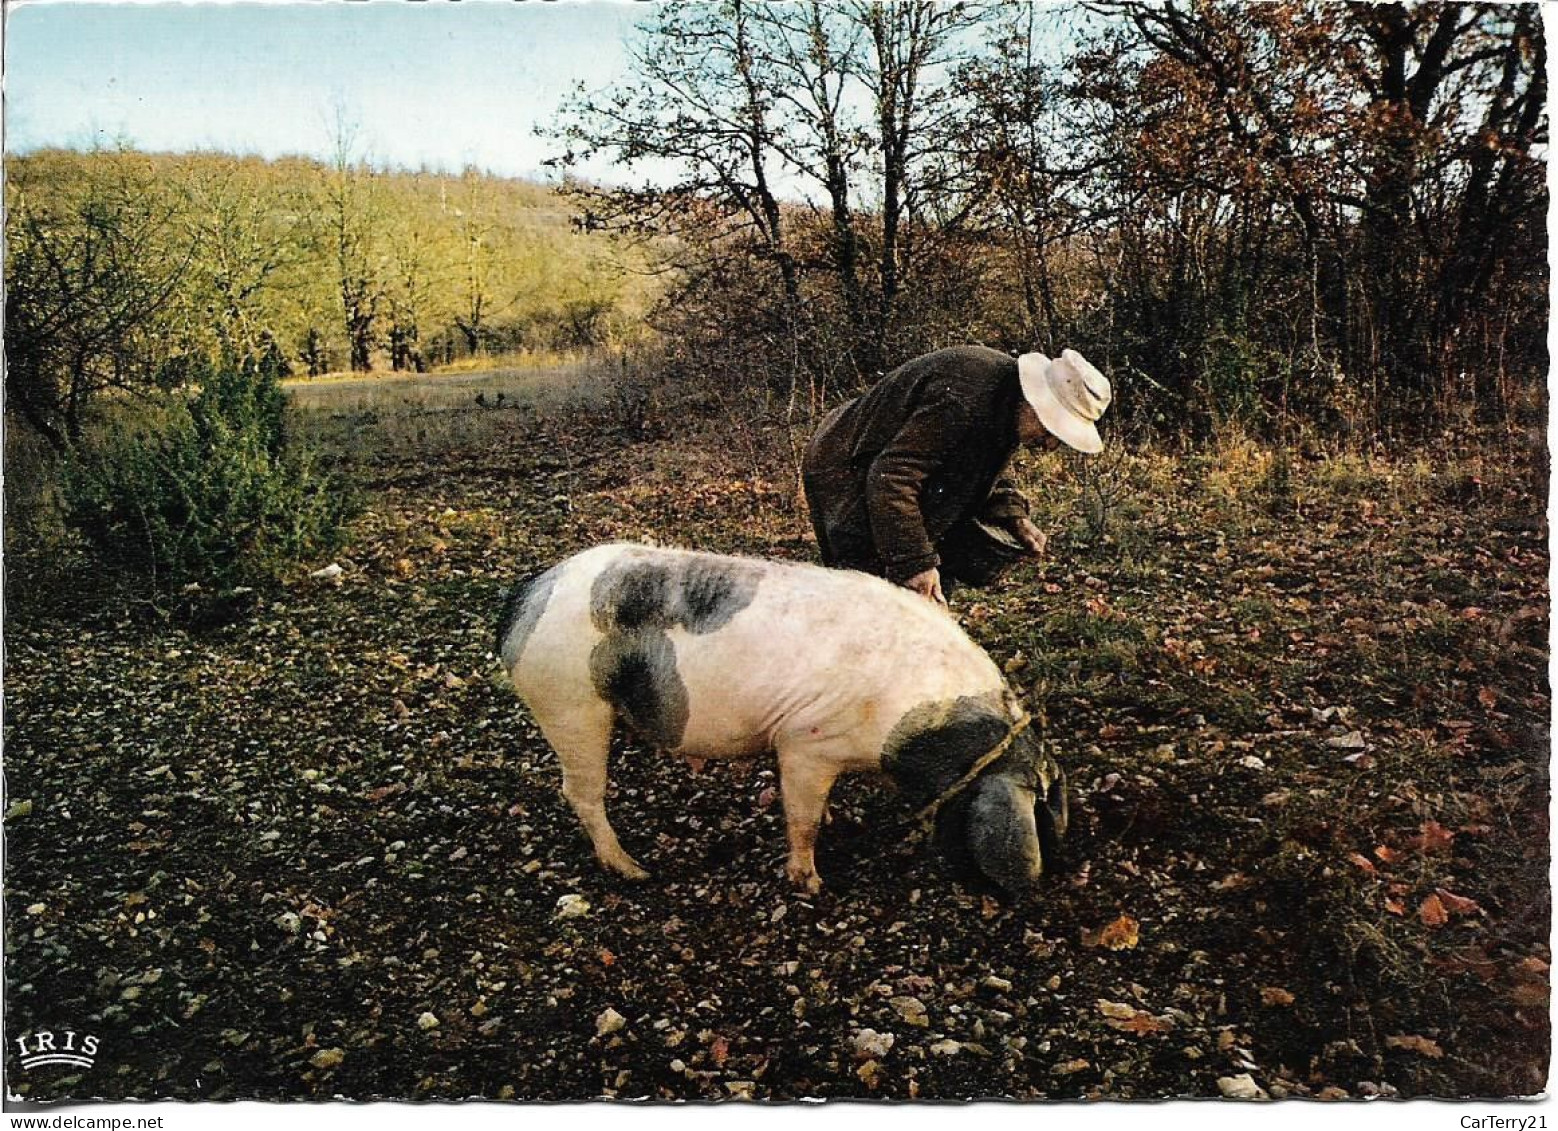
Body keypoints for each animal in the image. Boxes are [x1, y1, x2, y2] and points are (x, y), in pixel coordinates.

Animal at [492, 542, 1065, 897]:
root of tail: (526, 599)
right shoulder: (806, 742)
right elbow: (802, 818)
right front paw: (813, 884)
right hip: (570, 705)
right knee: (579, 792)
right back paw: (635, 872)